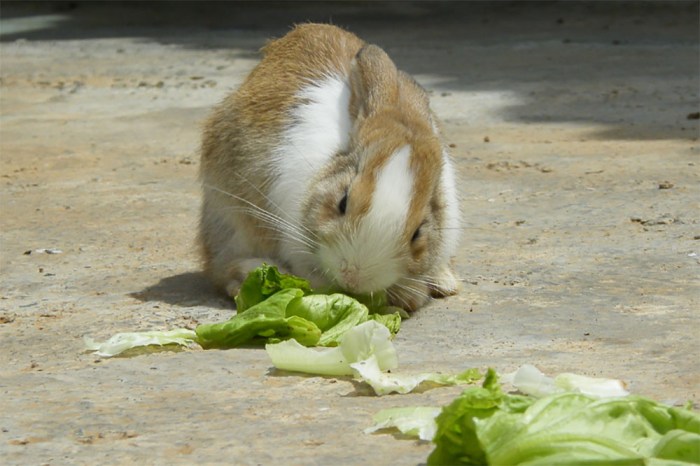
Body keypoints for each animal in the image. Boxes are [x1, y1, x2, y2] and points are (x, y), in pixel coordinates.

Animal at [198, 23, 460, 312]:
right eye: (342, 203)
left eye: (418, 233)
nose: (353, 276)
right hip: (227, 220)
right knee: (223, 268)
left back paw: (445, 282)